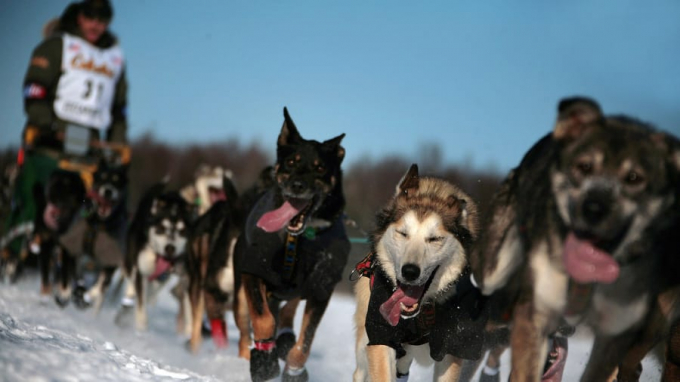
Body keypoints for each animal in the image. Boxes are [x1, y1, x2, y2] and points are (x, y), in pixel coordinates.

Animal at [116, 184, 195, 332]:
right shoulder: (142, 271)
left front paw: (189, 330)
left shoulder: (185, 276)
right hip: (131, 261)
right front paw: (140, 331)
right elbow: (141, 308)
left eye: (182, 231)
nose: (170, 248)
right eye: (161, 228)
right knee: (132, 280)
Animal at [234, 107, 350, 382]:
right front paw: (264, 361)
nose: (297, 185)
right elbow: (263, 319)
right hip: (240, 295)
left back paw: (285, 338)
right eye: (291, 162)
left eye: (320, 168)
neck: (296, 239)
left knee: (288, 314)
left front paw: (294, 369)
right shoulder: (253, 271)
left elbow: (304, 345)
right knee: (247, 329)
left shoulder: (321, 288)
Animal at [470, 96, 680, 382]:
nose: (594, 208)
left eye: (634, 178)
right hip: (494, 269)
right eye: (584, 166)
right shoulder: (536, 311)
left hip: (652, 327)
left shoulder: (616, 330)